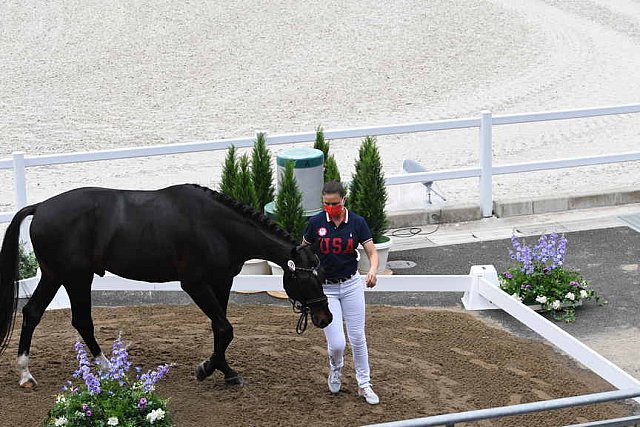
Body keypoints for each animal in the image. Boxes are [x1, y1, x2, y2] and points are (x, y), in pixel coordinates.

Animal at [0, 184, 330, 388]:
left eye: (321, 274)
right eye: (304, 278)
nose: (324, 317)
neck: (216, 226)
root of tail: (40, 207)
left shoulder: (222, 281)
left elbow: (220, 328)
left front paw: (224, 371)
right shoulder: (195, 284)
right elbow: (225, 328)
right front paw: (206, 369)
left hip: (56, 276)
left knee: (33, 313)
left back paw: (26, 374)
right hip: (75, 277)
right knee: (80, 320)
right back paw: (107, 369)